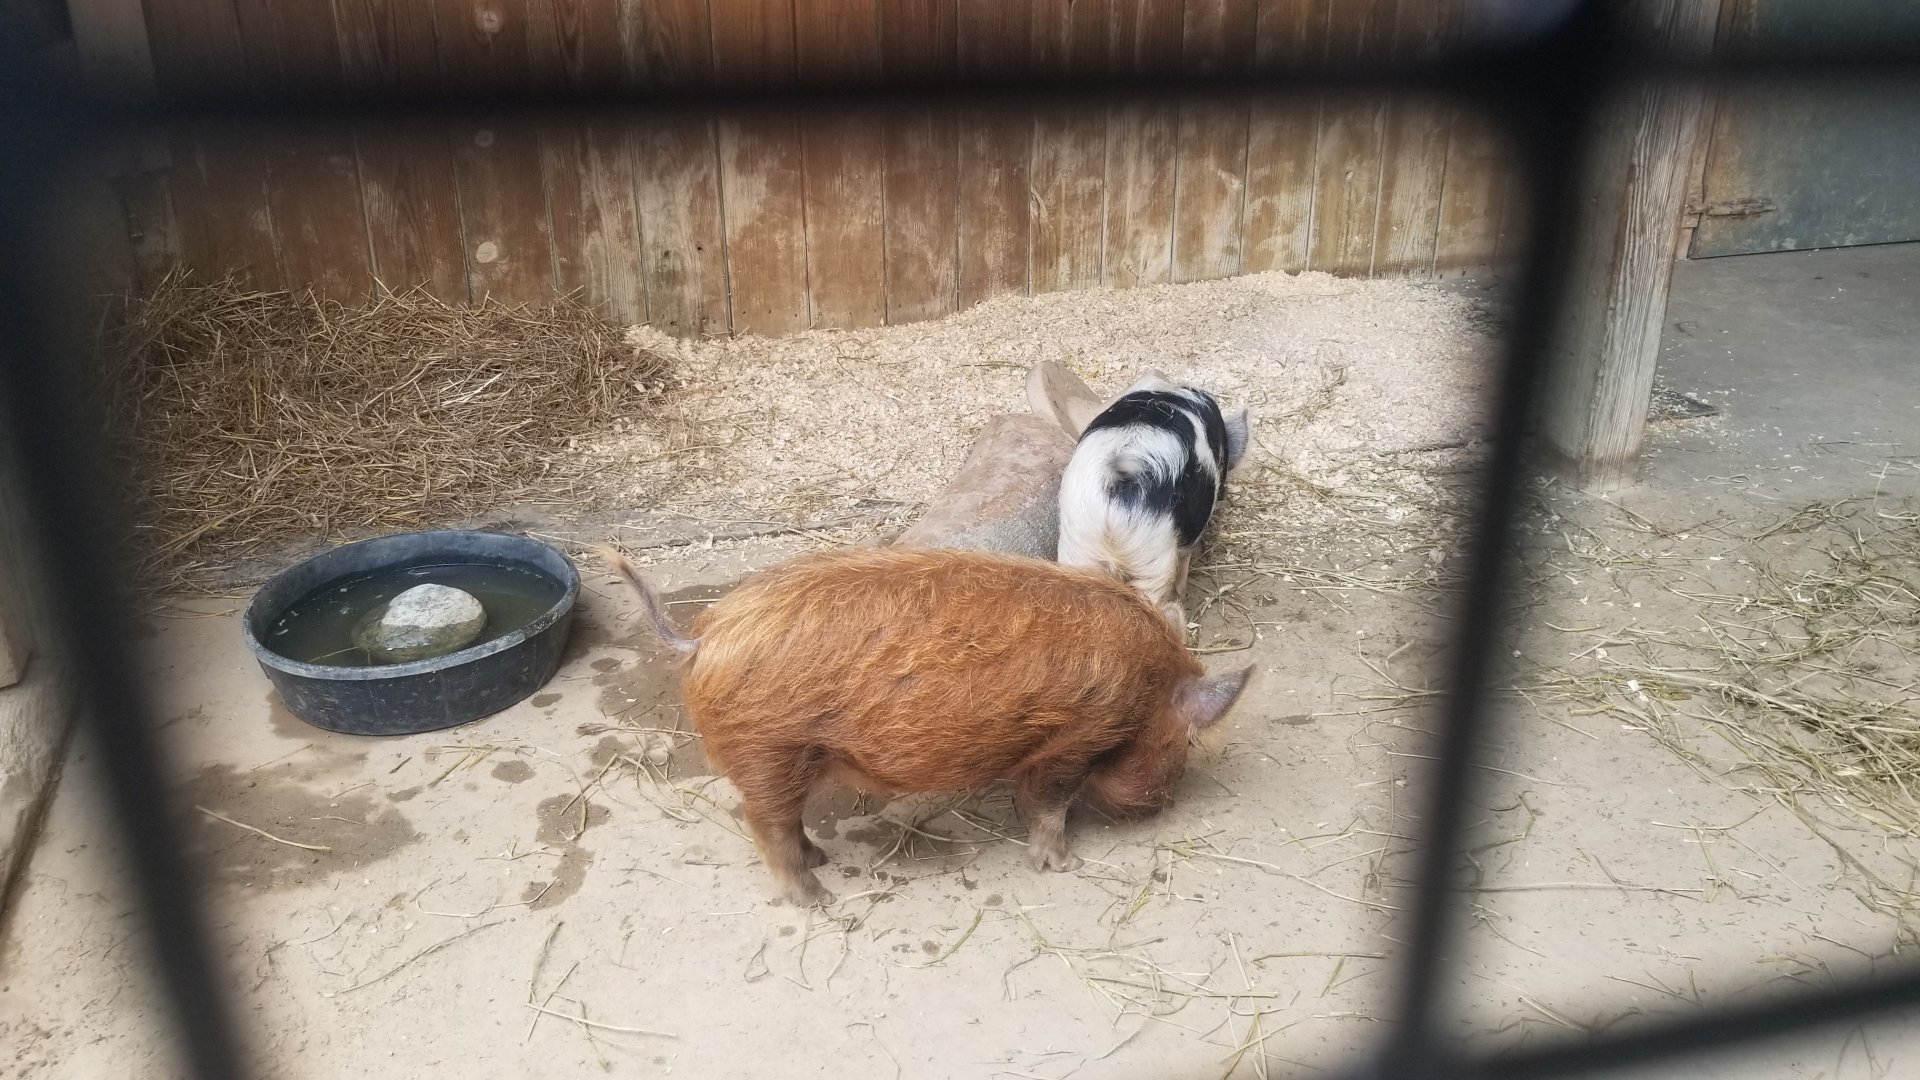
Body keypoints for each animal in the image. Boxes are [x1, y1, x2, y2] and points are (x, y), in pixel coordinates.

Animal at [593, 544, 1252, 906]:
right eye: (1182, 748)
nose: (1160, 808)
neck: (1150, 689)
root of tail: (702, 638)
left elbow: (1031, 798)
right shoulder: (1073, 737)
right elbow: (1051, 804)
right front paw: (1063, 866)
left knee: (785, 823)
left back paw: (821, 862)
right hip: (769, 751)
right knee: (764, 825)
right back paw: (815, 900)